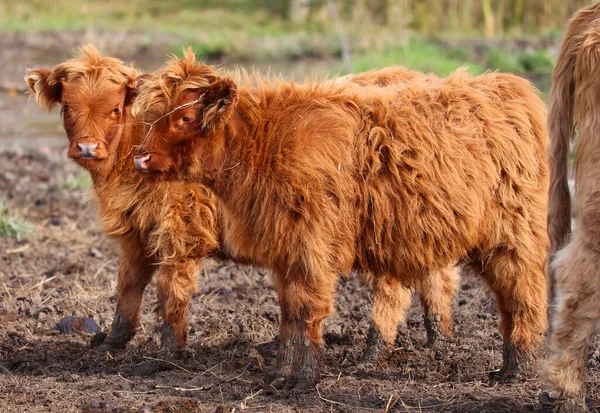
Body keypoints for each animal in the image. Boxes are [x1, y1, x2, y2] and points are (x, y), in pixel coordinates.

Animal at [22, 45, 454, 358]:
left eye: (115, 108)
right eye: (67, 107)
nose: (87, 148)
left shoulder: (180, 231)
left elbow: (171, 293)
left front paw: (168, 353)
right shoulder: (137, 236)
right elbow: (127, 289)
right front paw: (111, 343)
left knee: (393, 287)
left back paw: (375, 349)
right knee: (438, 276)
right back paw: (440, 340)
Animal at [134, 51, 552, 386]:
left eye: (186, 117)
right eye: (151, 115)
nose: (140, 157)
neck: (264, 144)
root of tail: (506, 86)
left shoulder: (311, 246)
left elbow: (306, 310)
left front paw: (302, 378)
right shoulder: (286, 252)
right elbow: (289, 314)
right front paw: (281, 372)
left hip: (513, 237)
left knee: (525, 295)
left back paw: (517, 369)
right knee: (497, 299)